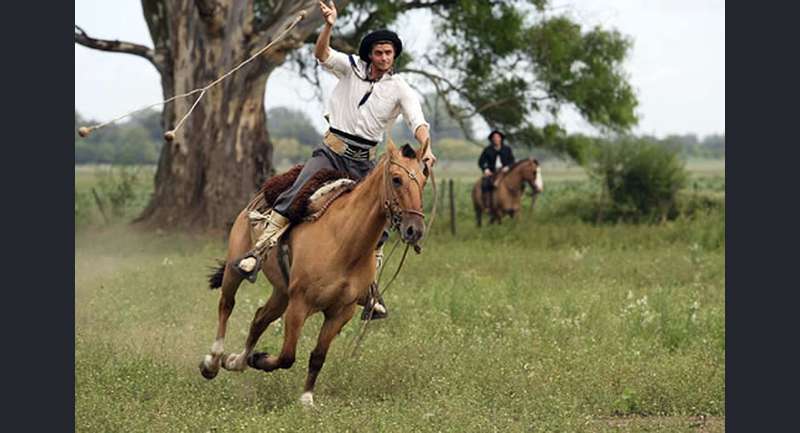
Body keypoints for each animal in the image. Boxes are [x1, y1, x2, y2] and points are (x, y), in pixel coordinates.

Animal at [199, 138, 432, 404]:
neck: (344, 240)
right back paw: (213, 361)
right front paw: (260, 359)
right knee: (226, 305)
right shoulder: (299, 304)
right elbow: (287, 355)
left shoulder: (341, 312)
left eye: (423, 180)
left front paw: (306, 398)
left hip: (282, 292)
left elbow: (318, 355)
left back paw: (235, 361)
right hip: (235, 270)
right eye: (396, 179)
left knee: (259, 318)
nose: (415, 230)